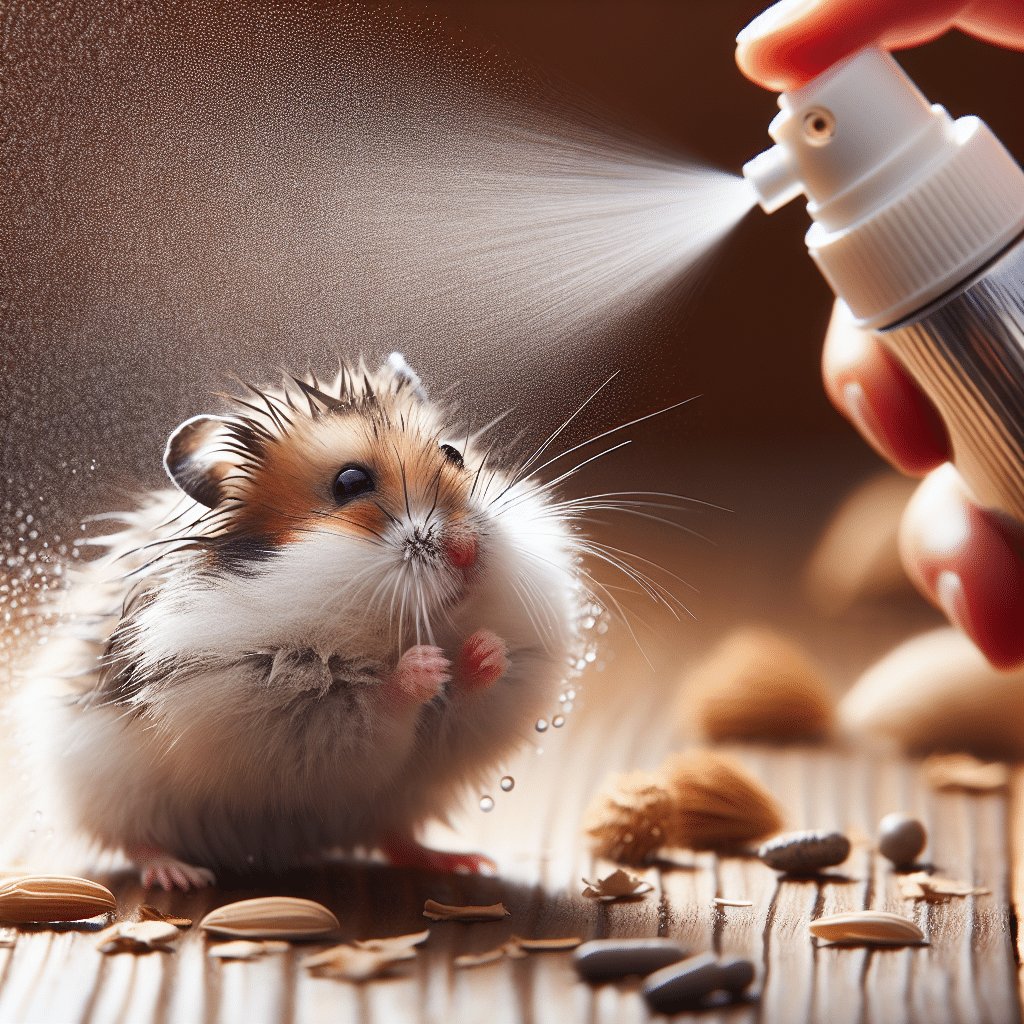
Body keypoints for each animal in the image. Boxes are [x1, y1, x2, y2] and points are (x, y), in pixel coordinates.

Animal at [32, 354, 587, 889]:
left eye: (454, 454)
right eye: (351, 482)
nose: (468, 554)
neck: (391, 626)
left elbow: (468, 697)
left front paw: (485, 649)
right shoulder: (279, 706)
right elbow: (370, 705)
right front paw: (424, 665)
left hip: (392, 807)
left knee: (395, 838)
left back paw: (464, 862)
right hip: (108, 787)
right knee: (135, 840)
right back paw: (179, 877)